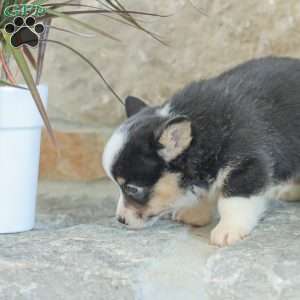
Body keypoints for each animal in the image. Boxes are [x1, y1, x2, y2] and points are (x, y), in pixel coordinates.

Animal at [102, 56, 300, 246]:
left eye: (132, 189)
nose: (120, 220)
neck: (202, 134)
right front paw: (194, 212)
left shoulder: (246, 165)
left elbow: (233, 201)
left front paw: (228, 230)